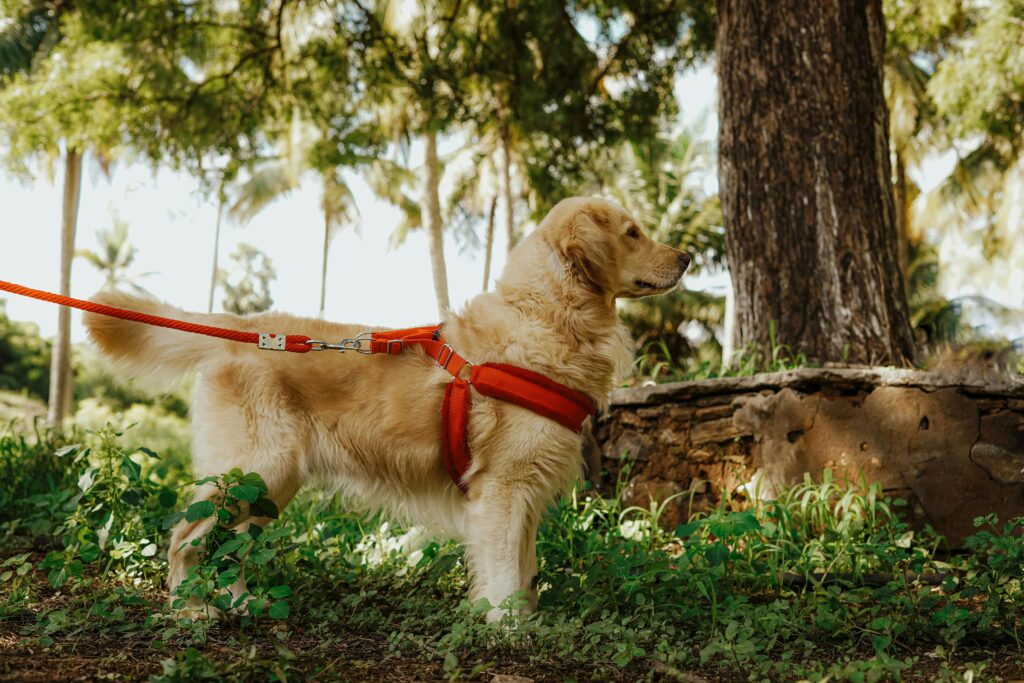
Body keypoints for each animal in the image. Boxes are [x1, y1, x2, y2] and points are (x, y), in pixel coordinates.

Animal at [83, 194, 692, 622]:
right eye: (633, 232)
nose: (688, 256)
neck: (547, 317)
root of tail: (241, 331)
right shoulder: (502, 488)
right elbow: (504, 573)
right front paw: (508, 630)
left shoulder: (526, 494)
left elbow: (524, 571)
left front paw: (523, 622)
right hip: (255, 468)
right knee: (185, 538)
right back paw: (189, 611)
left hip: (268, 486)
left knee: (232, 548)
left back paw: (241, 604)